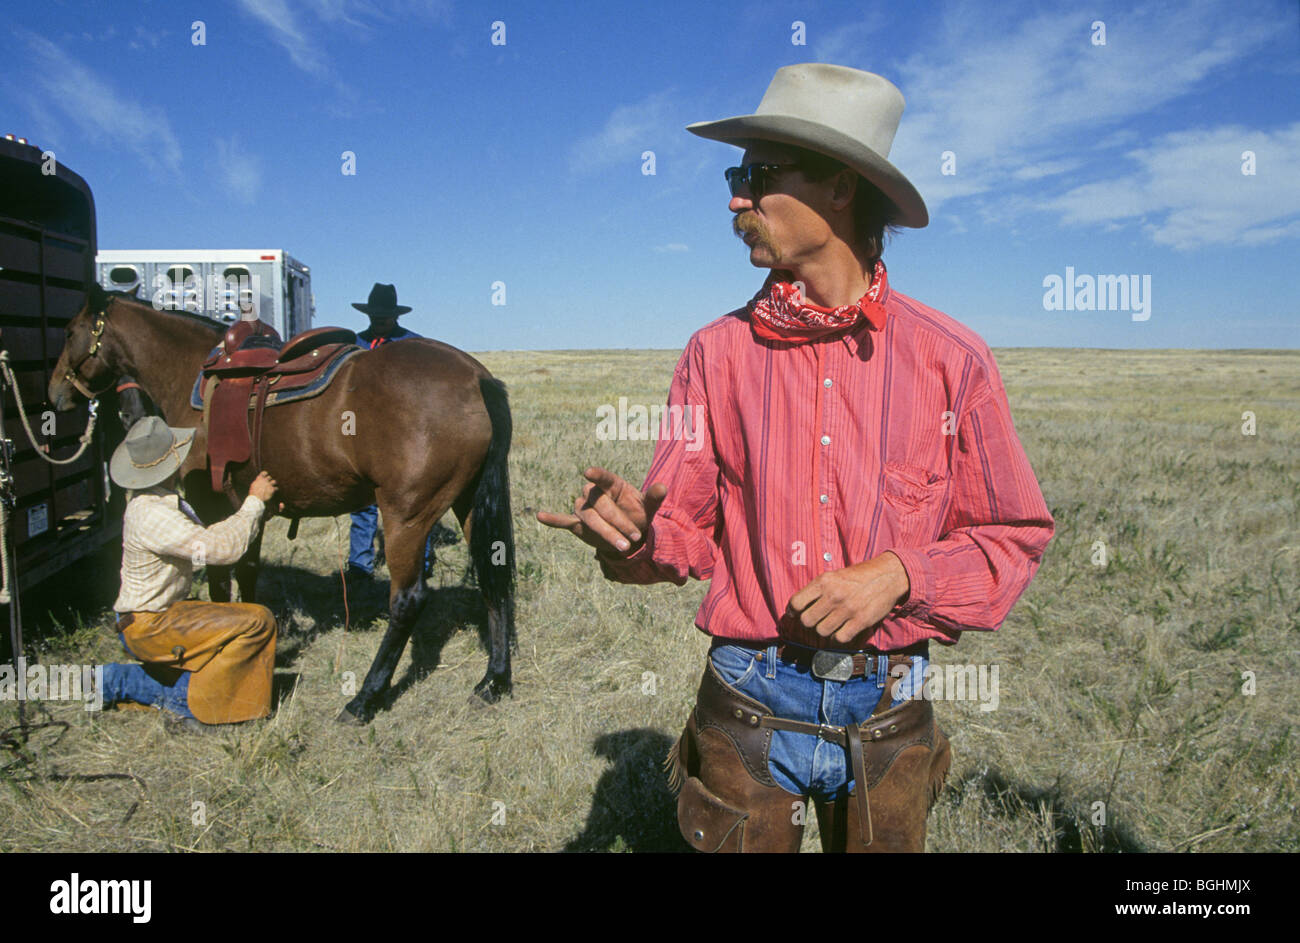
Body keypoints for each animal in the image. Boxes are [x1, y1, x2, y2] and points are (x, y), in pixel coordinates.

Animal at [50, 284, 517, 723]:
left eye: (70, 331)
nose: (55, 394)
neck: (189, 372)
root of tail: (475, 377)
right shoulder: (246, 506)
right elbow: (247, 572)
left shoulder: (210, 507)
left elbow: (219, 585)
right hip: (468, 503)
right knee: (493, 579)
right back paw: (494, 680)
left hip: (407, 515)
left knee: (407, 600)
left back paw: (365, 698)